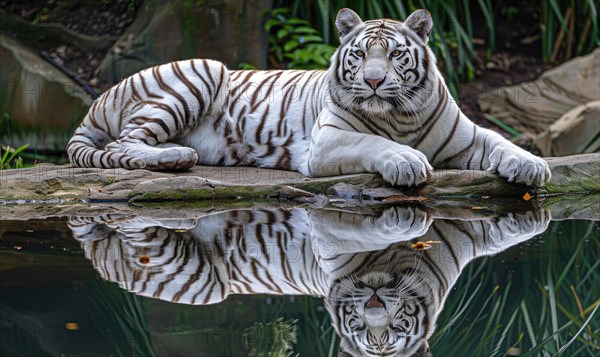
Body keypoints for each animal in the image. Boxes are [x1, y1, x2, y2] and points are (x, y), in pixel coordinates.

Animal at [68, 8, 552, 186]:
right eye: (360, 54)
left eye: (395, 54)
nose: (373, 82)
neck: (400, 116)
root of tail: (100, 98)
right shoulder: (327, 142)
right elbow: (373, 143)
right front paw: (406, 162)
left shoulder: (466, 137)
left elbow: (501, 140)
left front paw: (531, 165)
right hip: (203, 69)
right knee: (123, 144)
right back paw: (174, 157)